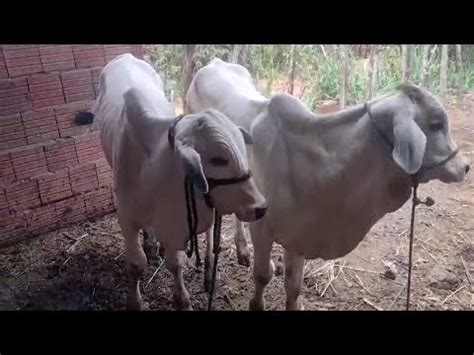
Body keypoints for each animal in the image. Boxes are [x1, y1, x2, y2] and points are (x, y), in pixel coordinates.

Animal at [92, 53, 266, 312]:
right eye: (219, 159)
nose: (260, 207)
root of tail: (126, 56)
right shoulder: (126, 218)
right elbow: (136, 263)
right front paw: (135, 301)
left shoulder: (179, 224)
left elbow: (175, 263)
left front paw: (182, 300)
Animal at [186, 57, 470, 310]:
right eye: (436, 124)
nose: (465, 167)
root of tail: (214, 63)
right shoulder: (263, 230)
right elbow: (263, 275)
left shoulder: (298, 237)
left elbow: (294, 287)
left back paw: (242, 249)